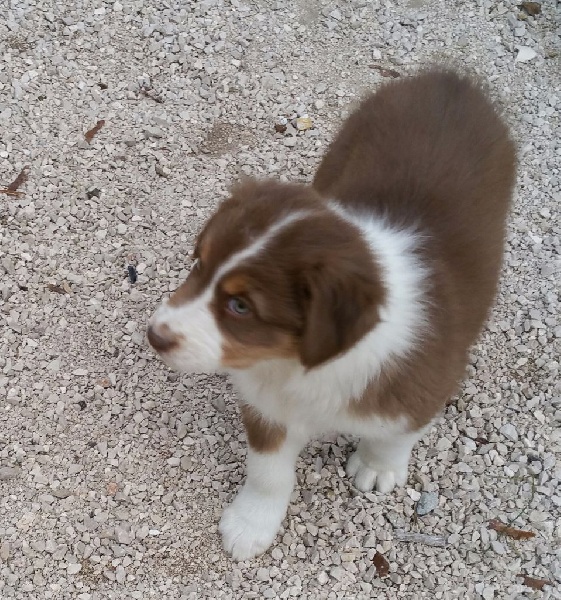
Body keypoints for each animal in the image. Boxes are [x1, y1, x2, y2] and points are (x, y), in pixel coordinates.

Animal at [147, 68, 516, 560]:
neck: (297, 365)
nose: (154, 335)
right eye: (198, 264)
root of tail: (450, 79)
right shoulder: (267, 404)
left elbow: (396, 435)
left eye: (240, 306)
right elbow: (268, 471)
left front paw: (377, 468)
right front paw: (250, 524)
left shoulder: (422, 387)